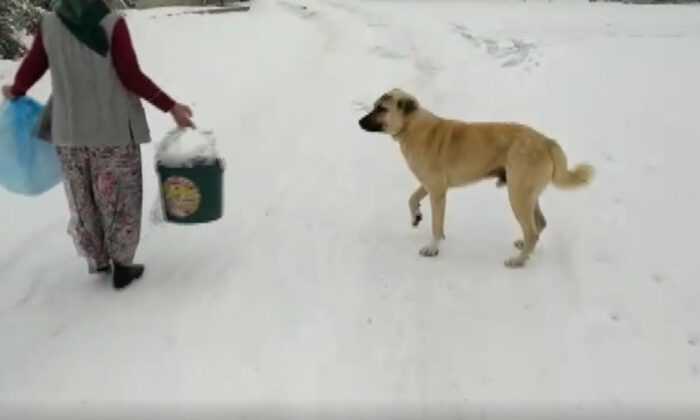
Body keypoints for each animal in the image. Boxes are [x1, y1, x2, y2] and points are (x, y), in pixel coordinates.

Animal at [358, 88, 592, 270]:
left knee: (532, 231)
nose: (359, 121)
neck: (413, 127)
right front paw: (416, 216)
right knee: (540, 223)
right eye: (375, 106)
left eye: (382, 109)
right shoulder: (430, 185)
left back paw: (518, 261)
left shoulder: (437, 190)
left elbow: (436, 226)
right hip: (527, 195)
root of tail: (546, 141)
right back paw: (522, 248)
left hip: (518, 195)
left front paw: (432, 248)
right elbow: (412, 198)